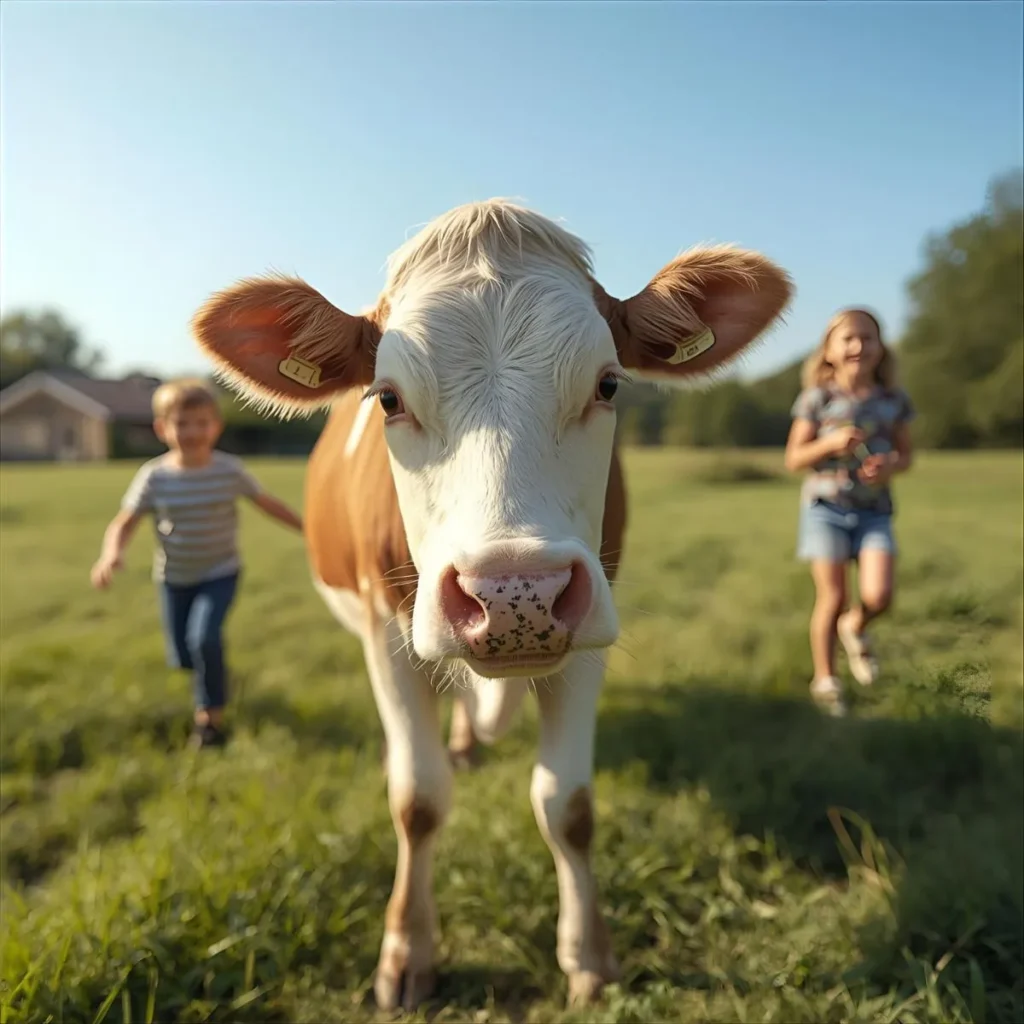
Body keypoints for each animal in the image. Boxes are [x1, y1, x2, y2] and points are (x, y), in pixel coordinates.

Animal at [191, 199, 792, 1011]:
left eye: (608, 385)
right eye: (387, 398)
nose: (514, 594)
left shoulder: (589, 634)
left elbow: (569, 805)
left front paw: (589, 955)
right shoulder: (385, 636)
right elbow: (417, 799)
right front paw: (406, 953)